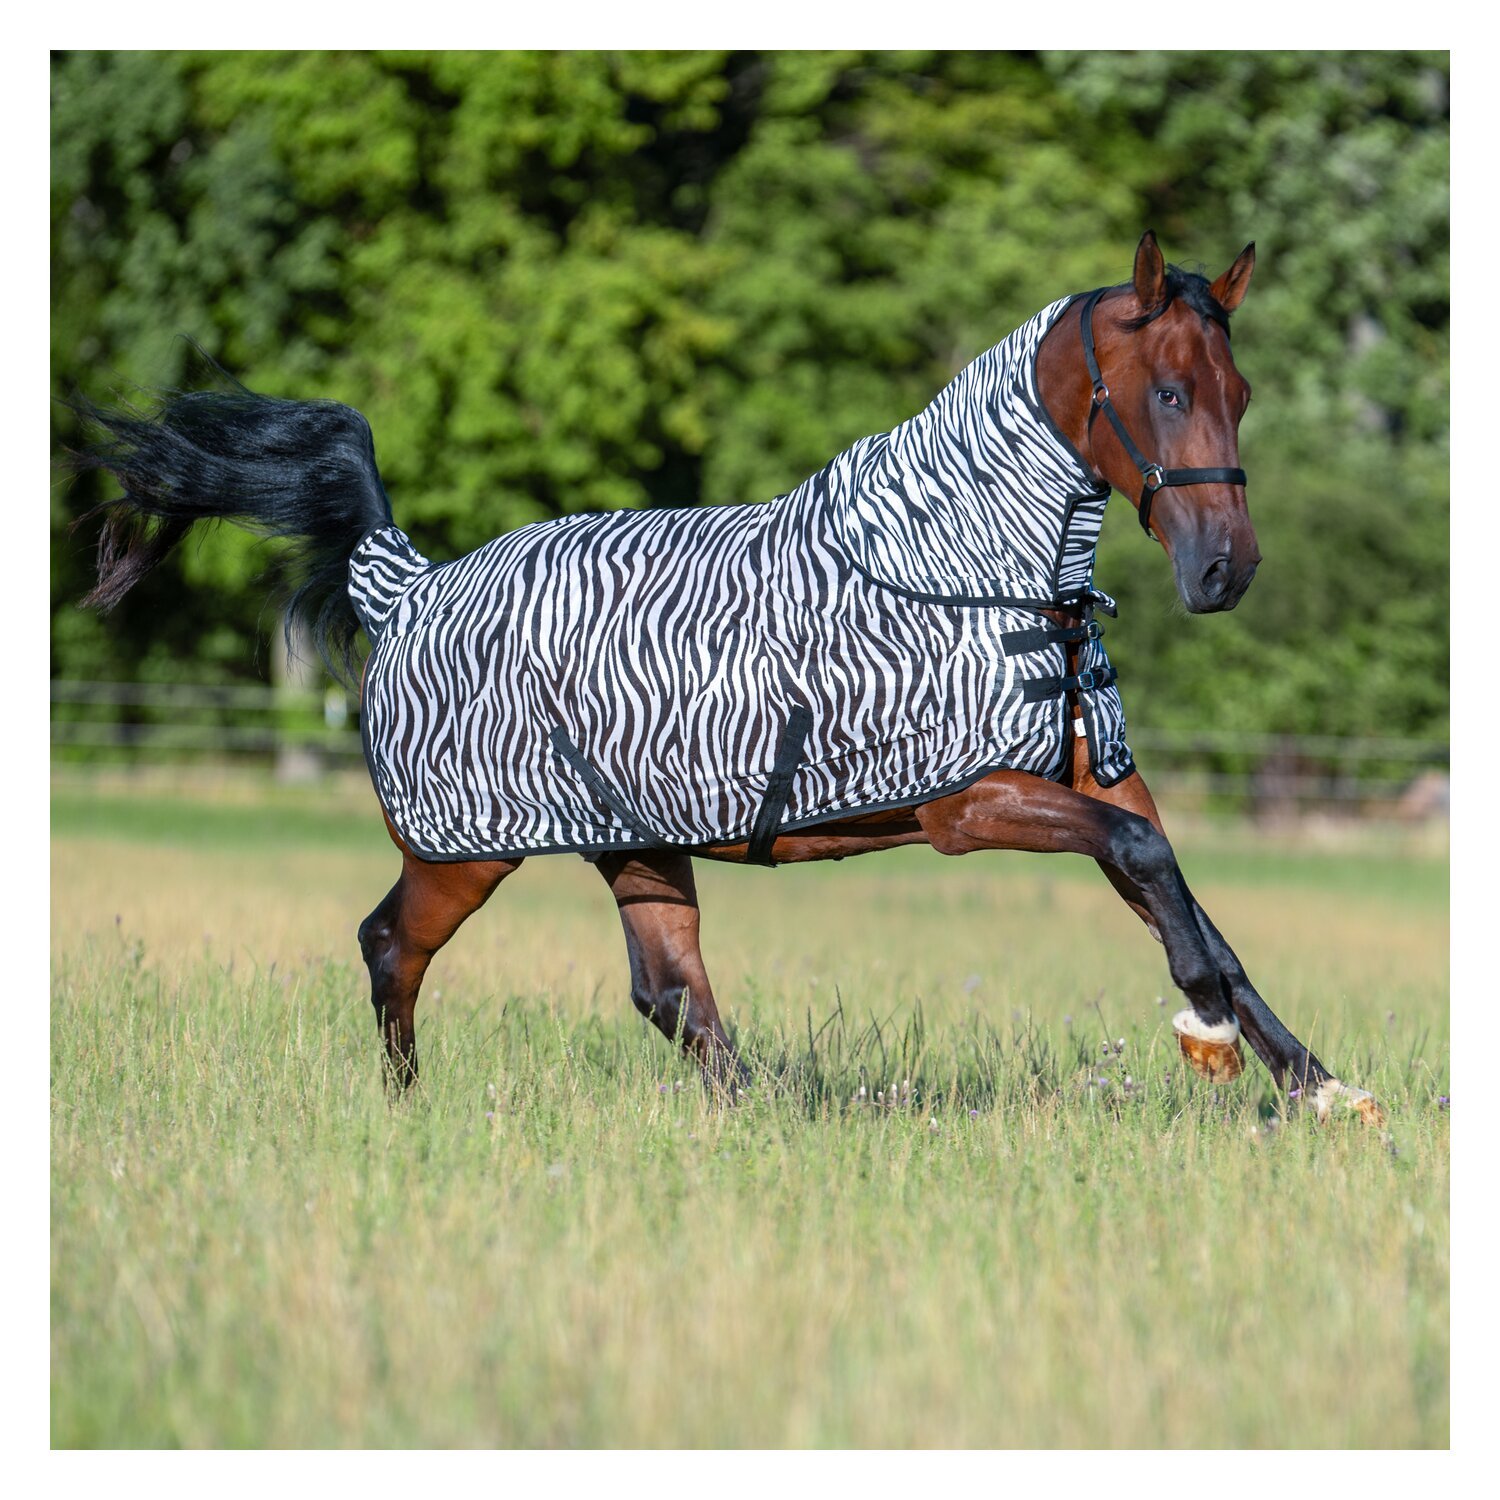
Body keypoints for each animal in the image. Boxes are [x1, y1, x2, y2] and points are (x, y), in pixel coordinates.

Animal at [71, 231, 1383, 1126]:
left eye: (1240, 393)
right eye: (1166, 391)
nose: (1225, 572)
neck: (969, 566)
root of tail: (408, 585)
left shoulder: (1098, 779)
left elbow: (1183, 896)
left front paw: (1317, 1085)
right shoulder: (971, 804)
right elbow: (1159, 879)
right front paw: (1208, 1033)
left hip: (637, 845)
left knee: (669, 993)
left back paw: (765, 1117)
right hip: (467, 852)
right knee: (394, 946)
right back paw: (407, 1110)